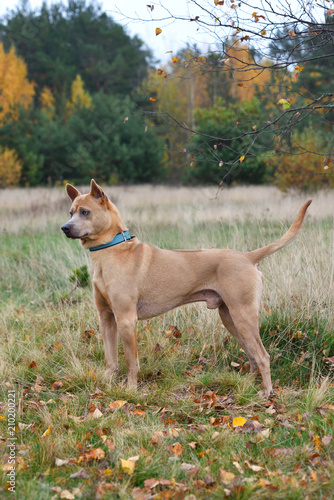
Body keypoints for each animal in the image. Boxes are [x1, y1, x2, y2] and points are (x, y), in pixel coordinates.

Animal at [60, 178, 314, 396]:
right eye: (71, 212)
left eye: (85, 212)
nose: (64, 228)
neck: (110, 252)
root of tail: (247, 257)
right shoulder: (106, 318)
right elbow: (110, 358)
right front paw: (106, 381)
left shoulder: (126, 319)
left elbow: (131, 362)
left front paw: (131, 390)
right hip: (230, 318)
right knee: (252, 355)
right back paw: (248, 385)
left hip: (243, 315)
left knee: (263, 355)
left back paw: (267, 392)